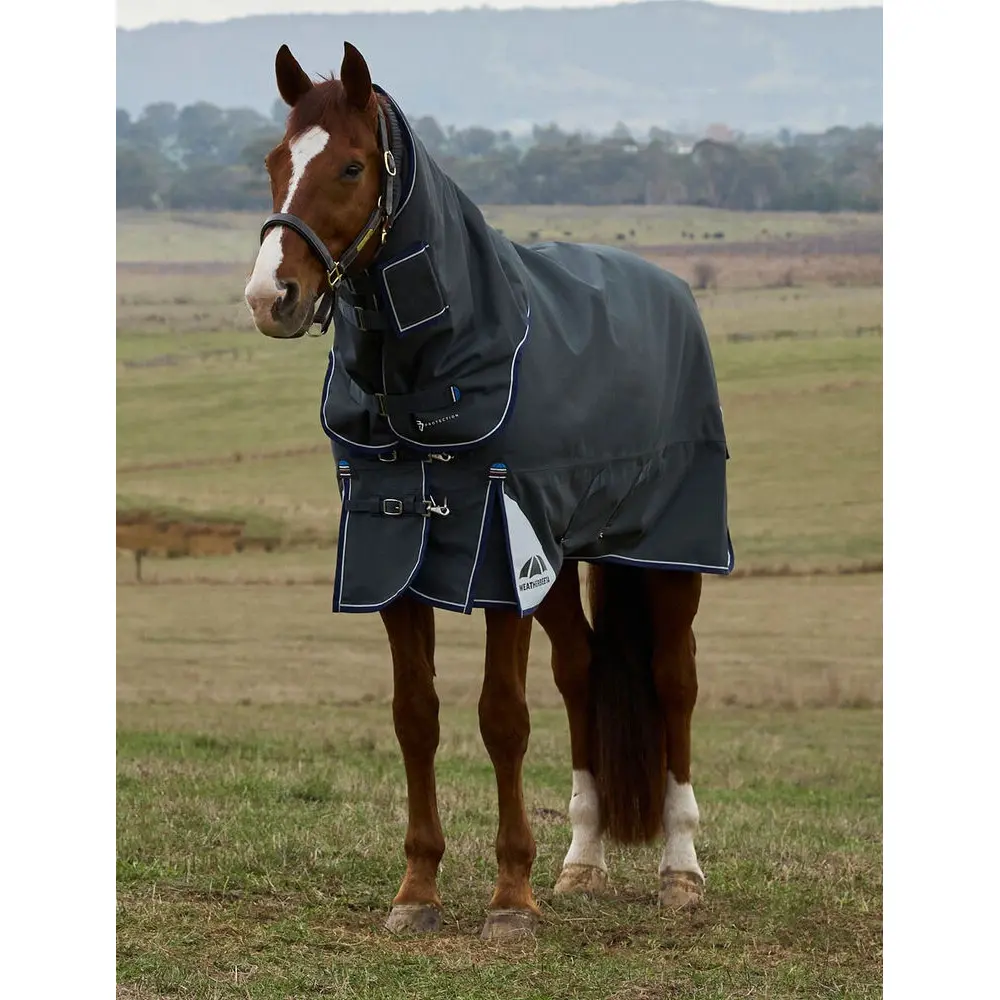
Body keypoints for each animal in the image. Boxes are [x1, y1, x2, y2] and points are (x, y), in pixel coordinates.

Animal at [244, 42, 733, 941]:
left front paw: (510, 900)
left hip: (668, 551)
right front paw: (417, 892)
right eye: (274, 162)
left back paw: (680, 870)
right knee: (582, 673)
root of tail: (669, 289)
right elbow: (416, 717)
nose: (272, 297)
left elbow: (503, 718)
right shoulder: (395, 554)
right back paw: (583, 861)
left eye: (352, 165)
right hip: (564, 560)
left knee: (675, 680)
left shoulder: (500, 556)